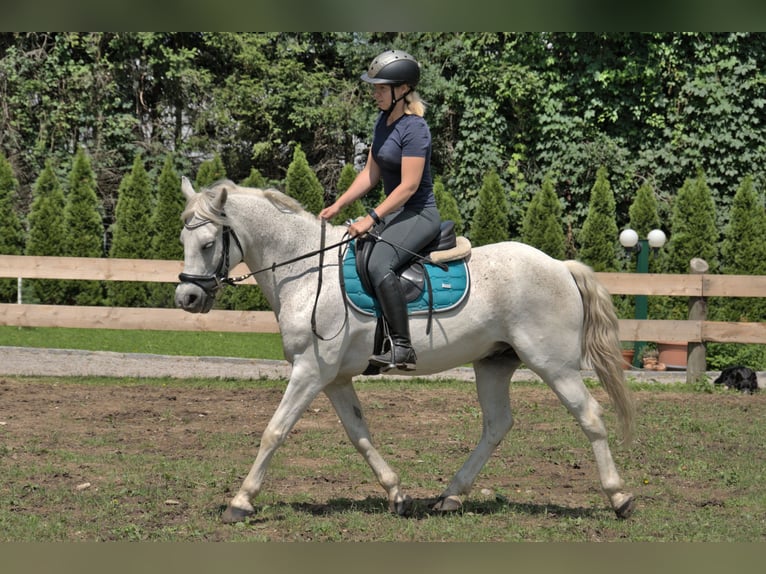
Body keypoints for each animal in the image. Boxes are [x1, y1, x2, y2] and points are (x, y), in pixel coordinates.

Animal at [177, 180, 640, 528]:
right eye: (183, 239)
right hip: (494, 363)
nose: (187, 297)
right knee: (497, 425)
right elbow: (359, 434)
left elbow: (274, 431)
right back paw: (451, 496)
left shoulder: (310, 371)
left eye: (207, 243)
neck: (305, 271)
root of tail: (561, 266)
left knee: (589, 416)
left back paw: (620, 497)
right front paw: (396, 493)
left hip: (553, 365)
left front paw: (241, 501)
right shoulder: (335, 379)